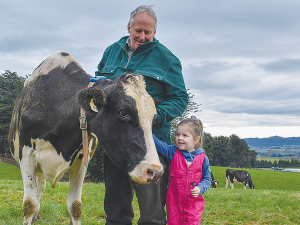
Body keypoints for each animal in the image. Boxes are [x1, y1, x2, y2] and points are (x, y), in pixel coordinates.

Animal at [8, 51, 164, 224]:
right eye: (124, 112)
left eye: (154, 119)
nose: (155, 171)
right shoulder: (26, 154)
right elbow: (29, 204)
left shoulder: (81, 158)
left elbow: (75, 206)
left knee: (40, 187)